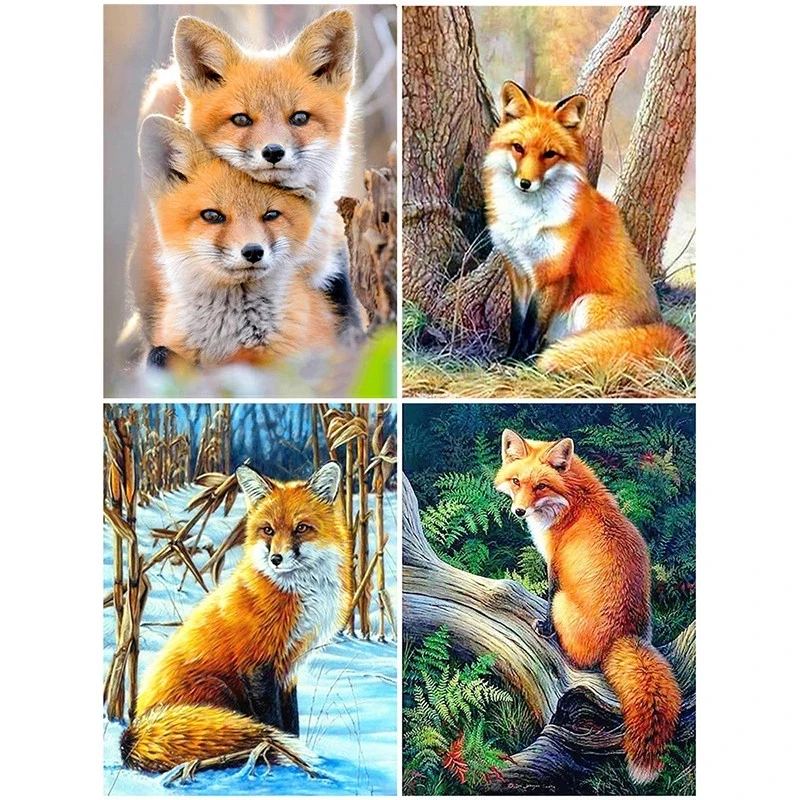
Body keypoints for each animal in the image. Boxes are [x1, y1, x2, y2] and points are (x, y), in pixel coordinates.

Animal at [121, 461, 354, 773]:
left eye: (301, 528)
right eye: (268, 530)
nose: (276, 559)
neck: (298, 593)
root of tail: (133, 732)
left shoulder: (289, 668)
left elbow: (291, 723)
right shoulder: (257, 664)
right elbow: (274, 722)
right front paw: (287, 758)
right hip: (218, 689)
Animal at [483, 81, 692, 376]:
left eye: (549, 154)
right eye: (518, 148)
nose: (525, 183)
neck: (526, 219)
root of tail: (660, 323)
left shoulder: (551, 274)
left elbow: (531, 327)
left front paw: (519, 362)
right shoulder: (518, 272)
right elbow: (517, 324)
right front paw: (507, 357)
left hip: (587, 305)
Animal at [494, 429, 682, 784]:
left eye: (540, 486)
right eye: (516, 481)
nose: (519, 512)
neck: (574, 500)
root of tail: (624, 635)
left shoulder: (554, 565)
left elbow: (548, 596)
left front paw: (544, 627)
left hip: (565, 606)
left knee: (576, 657)